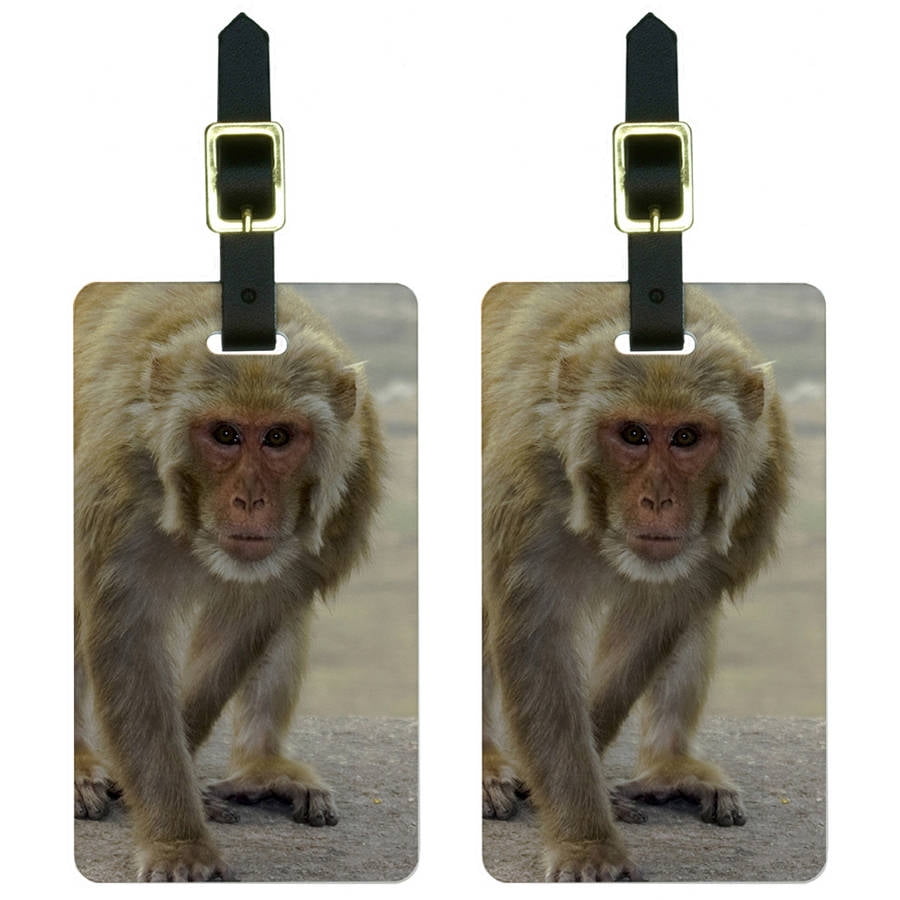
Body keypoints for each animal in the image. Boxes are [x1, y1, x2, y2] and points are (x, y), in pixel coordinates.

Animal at [74, 283, 383, 881]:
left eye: (279, 437)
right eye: (225, 434)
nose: (249, 500)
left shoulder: (346, 490)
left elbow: (248, 623)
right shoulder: (117, 484)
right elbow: (129, 638)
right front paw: (177, 840)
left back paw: (261, 764)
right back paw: (78, 761)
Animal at [481, 283, 791, 882]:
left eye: (687, 436)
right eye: (633, 434)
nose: (657, 500)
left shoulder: (753, 491)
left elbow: (656, 623)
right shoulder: (524, 484)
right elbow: (537, 637)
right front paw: (585, 840)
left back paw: (668, 764)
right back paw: (485, 761)